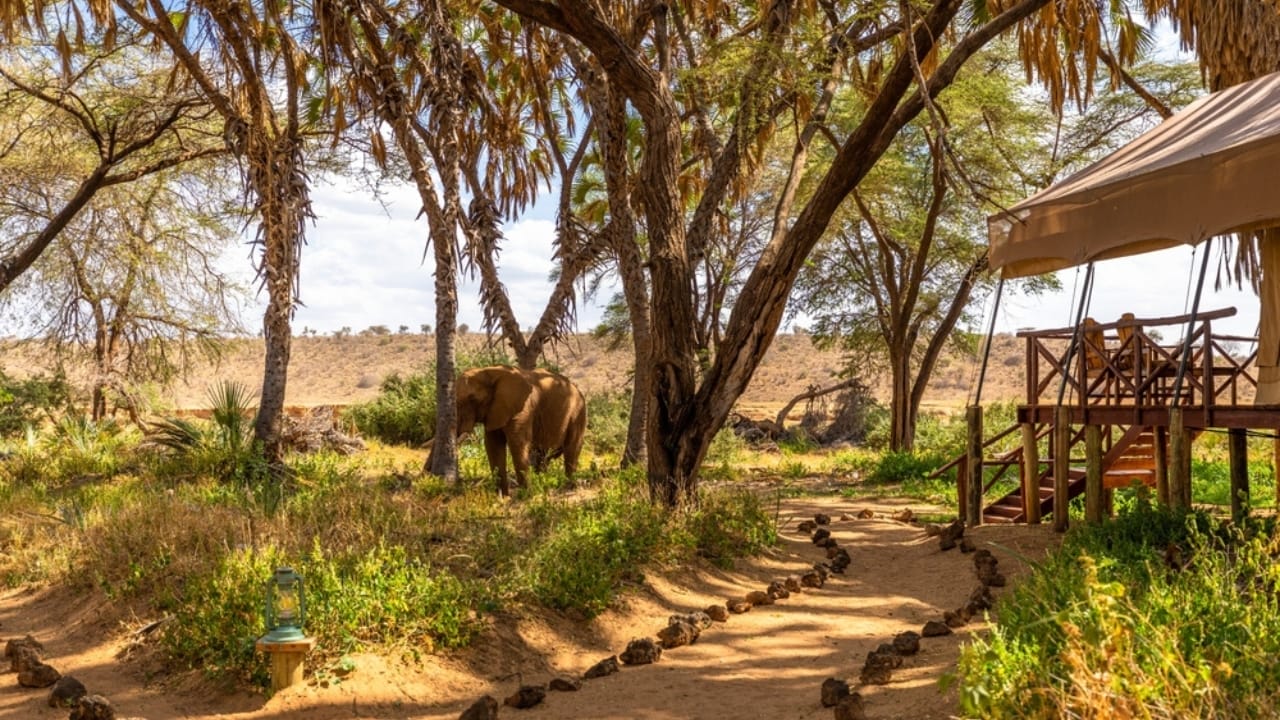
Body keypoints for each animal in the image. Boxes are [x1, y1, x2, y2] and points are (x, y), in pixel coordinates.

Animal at [430, 363, 588, 491]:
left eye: (473, 399)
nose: (432, 477)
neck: (488, 371)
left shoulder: (522, 409)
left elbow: (517, 443)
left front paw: (526, 495)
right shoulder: (494, 410)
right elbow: (493, 445)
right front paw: (502, 496)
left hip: (578, 412)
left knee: (571, 448)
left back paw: (569, 486)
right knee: (543, 455)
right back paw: (543, 482)